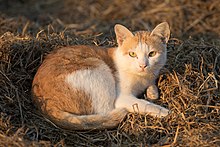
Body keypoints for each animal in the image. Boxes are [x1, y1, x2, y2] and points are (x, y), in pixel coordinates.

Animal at [32, 21, 170, 130]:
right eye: (132, 54)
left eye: (152, 54)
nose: (142, 65)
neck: (141, 78)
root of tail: (42, 101)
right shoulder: (122, 98)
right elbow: (145, 104)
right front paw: (165, 112)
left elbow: (152, 85)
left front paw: (152, 92)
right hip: (100, 69)